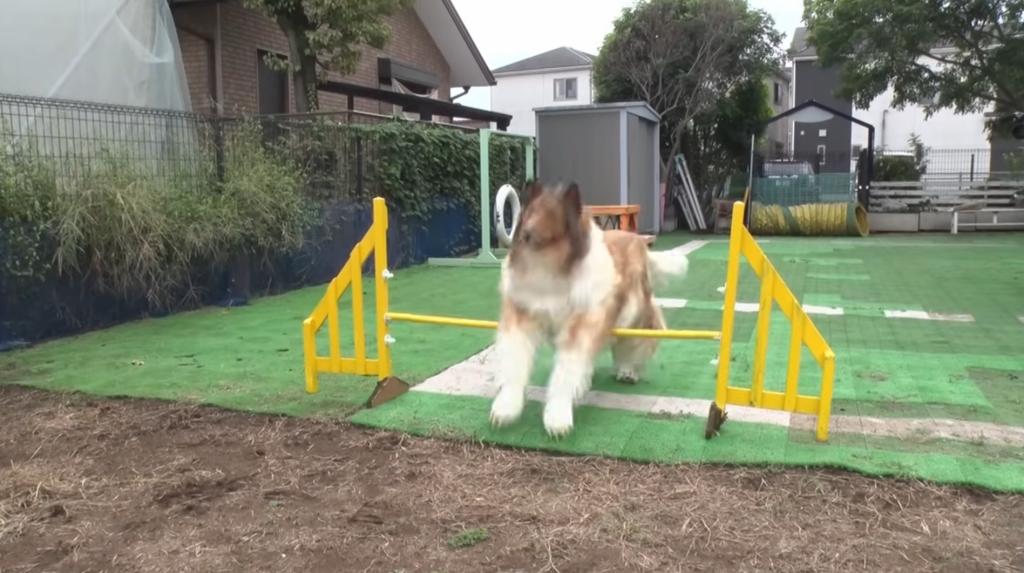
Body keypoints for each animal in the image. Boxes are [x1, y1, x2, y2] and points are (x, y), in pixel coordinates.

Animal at [487, 181, 688, 435]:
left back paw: (628, 371)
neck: (554, 273)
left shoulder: (582, 326)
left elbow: (566, 372)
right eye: (526, 230)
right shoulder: (522, 318)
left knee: (638, 339)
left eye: (551, 231)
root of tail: (638, 242)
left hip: (633, 313)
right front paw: (505, 410)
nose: (526, 235)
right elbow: (515, 362)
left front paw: (557, 420)